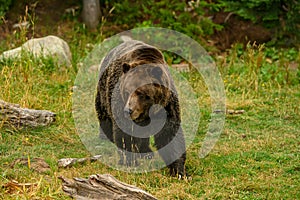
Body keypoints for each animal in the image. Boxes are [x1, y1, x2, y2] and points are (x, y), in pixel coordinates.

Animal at [95, 39, 186, 177]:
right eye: (127, 91)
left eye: (141, 93)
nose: (128, 111)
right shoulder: (119, 100)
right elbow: (126, 133)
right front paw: (130, 161)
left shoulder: (167, 105)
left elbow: (170, 134)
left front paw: (179, 171)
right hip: (104, 91)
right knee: (104, 113)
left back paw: (147, 152)